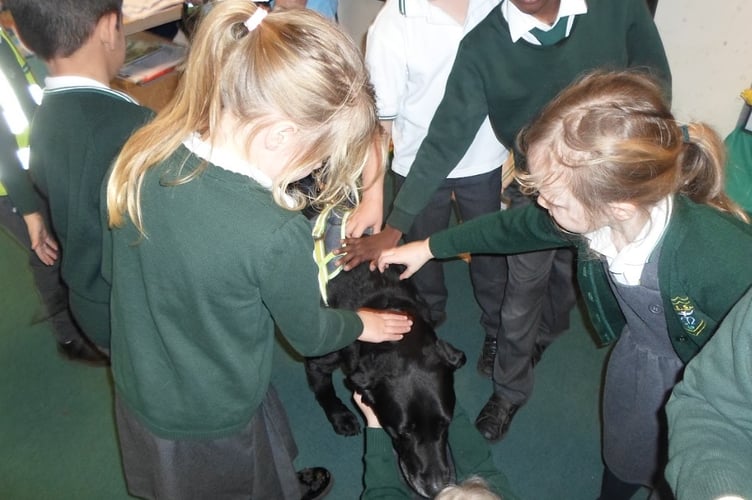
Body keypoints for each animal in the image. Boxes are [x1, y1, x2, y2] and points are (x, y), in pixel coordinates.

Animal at [302, 206, 468, 496]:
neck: (386, 308)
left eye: (445, 424)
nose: (436, 488)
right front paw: (341, 417)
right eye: (403, 433)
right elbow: (324, 391)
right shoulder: (319, 357)